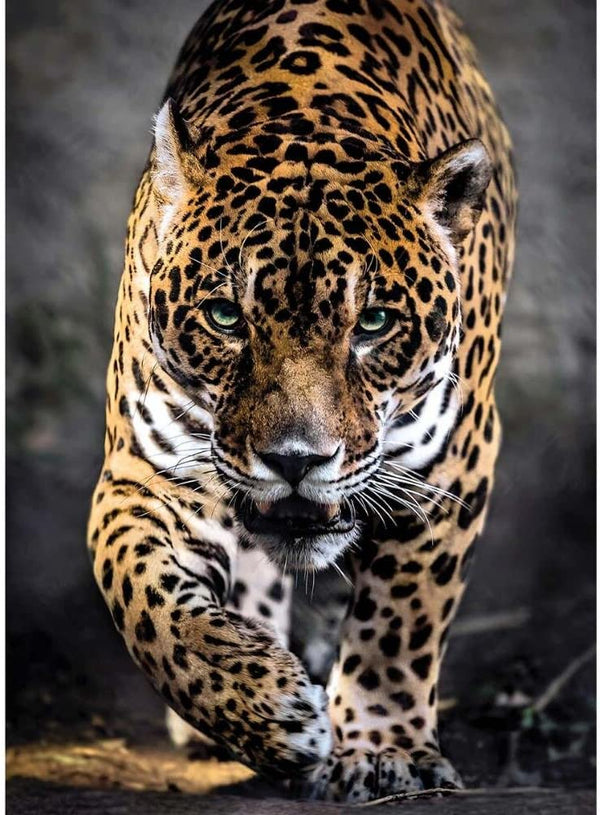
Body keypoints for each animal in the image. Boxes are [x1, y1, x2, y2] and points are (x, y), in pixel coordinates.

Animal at [87, 0, 516, 802]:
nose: (295, 460)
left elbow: (400, 622)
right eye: (226, 316)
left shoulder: (450, 467)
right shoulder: (145, 471)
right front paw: (263, 707)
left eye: (373, 323)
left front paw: (383, 750)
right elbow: (143, 598)